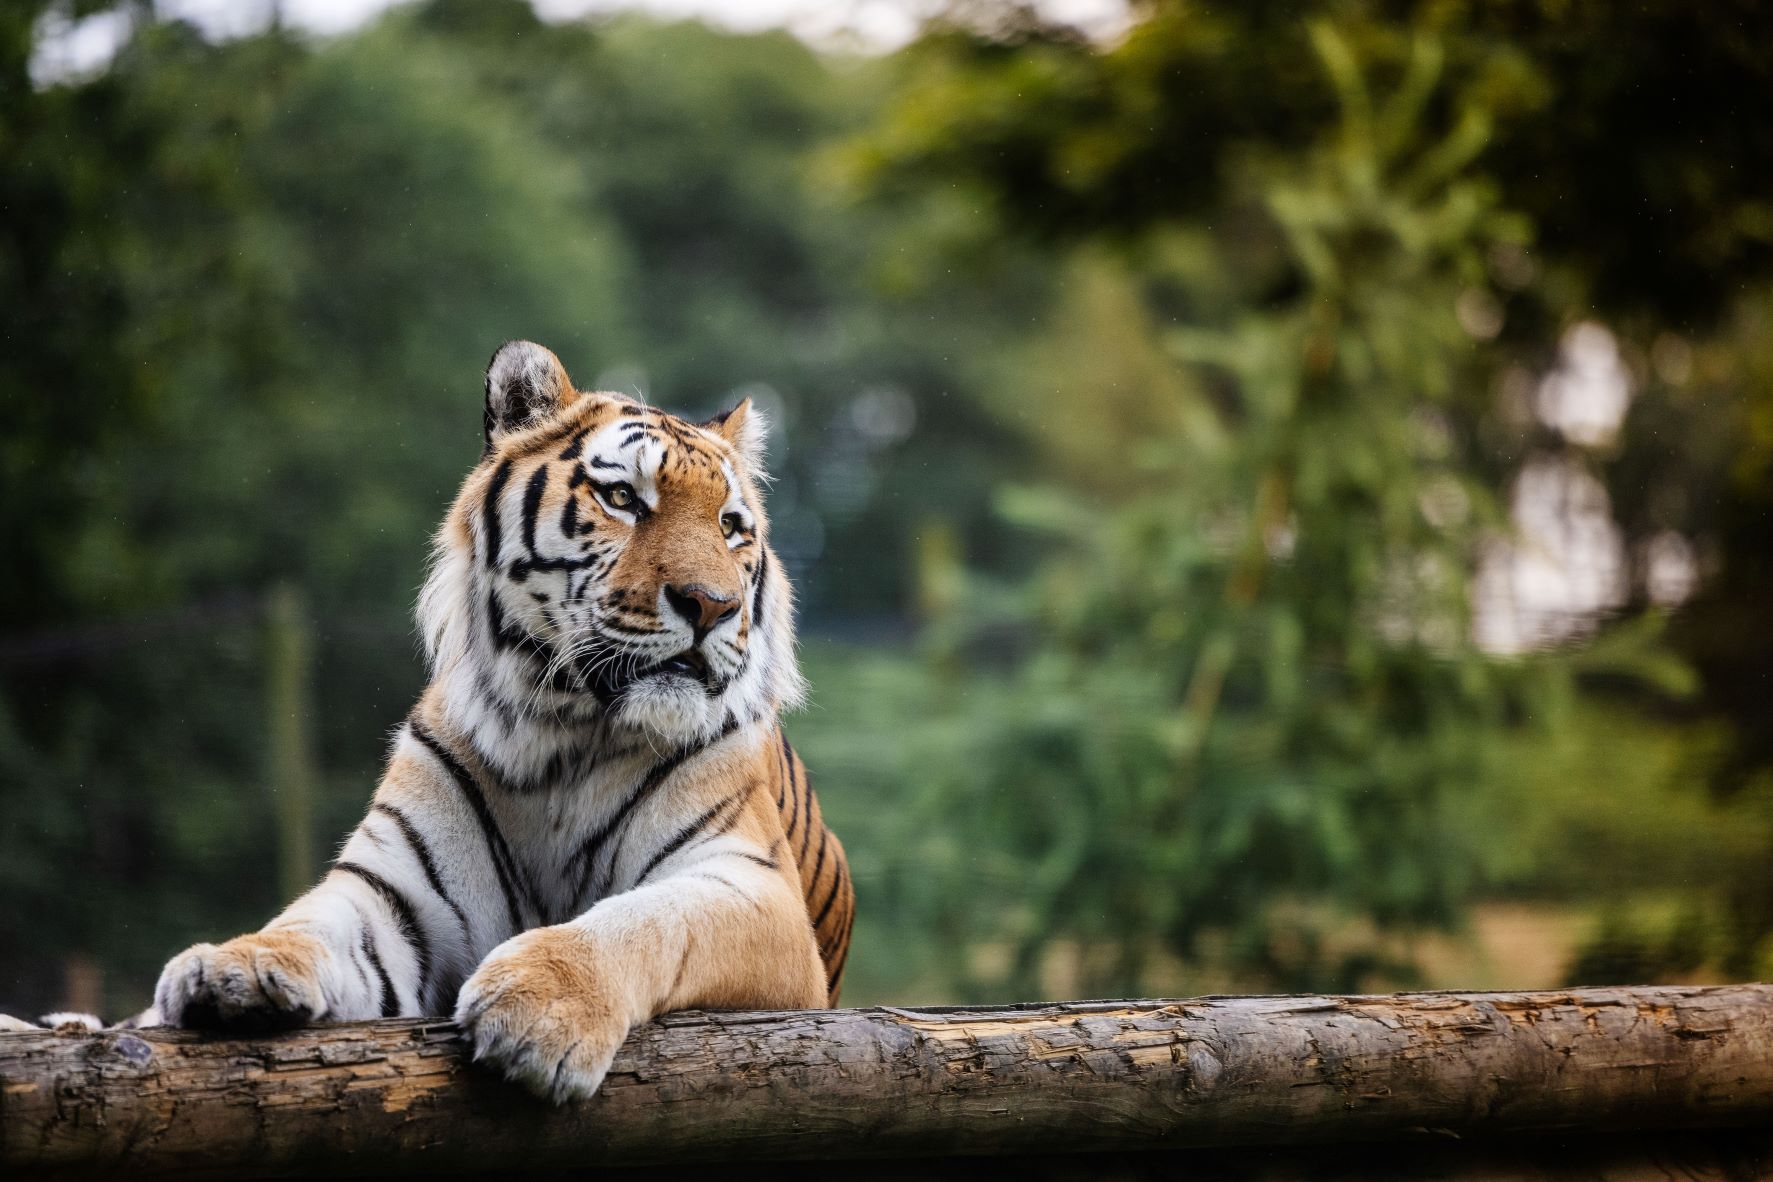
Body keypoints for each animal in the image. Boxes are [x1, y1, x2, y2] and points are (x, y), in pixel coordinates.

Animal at [145, 342, 851, 1098]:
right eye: (623, 499)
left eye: (730, 527)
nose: (713, 604)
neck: (567, 733)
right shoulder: (396, 894)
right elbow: (311, 921)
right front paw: (231, 966)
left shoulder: (754, 891)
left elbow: (648, 921)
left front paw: (541, 1006)